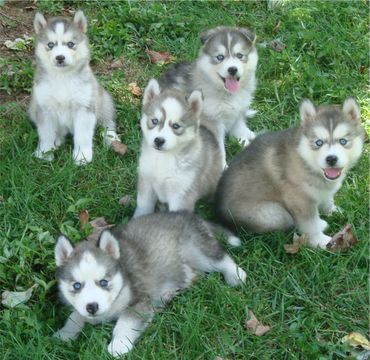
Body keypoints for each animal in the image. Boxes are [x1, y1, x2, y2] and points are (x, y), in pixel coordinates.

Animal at [28, 9, 118, 165]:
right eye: (50, 45)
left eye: (70, 44)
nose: (60, 57)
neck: (63, 77)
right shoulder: (44, 108)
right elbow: (46, 133)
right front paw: (45, 152)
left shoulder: (84, 108)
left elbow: (83, 135)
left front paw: (82, 156)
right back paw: (57, 139)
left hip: (103, 100)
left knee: (107, 122)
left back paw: (112, 139)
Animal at [53, 212, 246, 356]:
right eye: (77, 286)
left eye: (103, 282)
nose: (92, 307)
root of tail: (188, 215)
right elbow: (75, 316)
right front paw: (65, 333)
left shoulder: (140, 300)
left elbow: (125, 321)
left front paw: (119, 344)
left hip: (197, 250)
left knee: (220, 258)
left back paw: (236, 275)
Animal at [133, 78, 223, 218]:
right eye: (154, 121)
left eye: (176, 126)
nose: (159, 140)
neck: (163, 159)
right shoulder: (146, 183)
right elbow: (143, 209)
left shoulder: (181, 194)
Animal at [160, 25, 258, 166]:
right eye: (220, 57)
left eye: (240, 55)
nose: (232, 69)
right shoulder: (213, 121)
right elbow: (219, 147)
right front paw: (222, 166)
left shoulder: (237, 112)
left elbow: (240, 129)